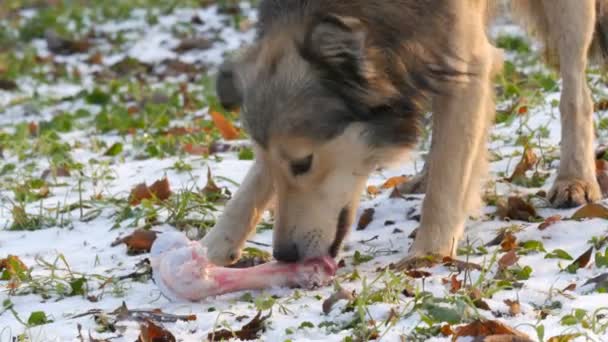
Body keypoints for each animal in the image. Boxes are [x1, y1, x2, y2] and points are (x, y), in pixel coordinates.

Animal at [201, 0, 608, 268]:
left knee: (576, 91)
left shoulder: (467, 62)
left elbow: (449, 178)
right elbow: (252, 185)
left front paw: (429, 254)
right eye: (267, 158)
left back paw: (574, 178)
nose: (284, 256)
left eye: (304, 163)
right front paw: (213, 247)